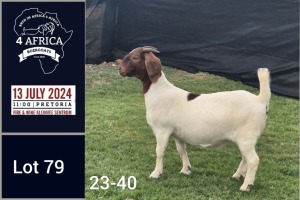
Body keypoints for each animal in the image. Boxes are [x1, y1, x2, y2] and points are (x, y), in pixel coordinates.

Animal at [118, 46, 270, 191]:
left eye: (135, 57)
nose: (120, 69)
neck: (159, 91)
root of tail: (260, 100)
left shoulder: (162, 129)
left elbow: (159, 151)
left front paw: (156, 173)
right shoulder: (177, 133)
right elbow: (181, 150)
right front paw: (186, 169)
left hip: (246, 136)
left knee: (253, 160)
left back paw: (246, 185)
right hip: (246, 139)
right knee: (245, 157)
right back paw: (238, 175)